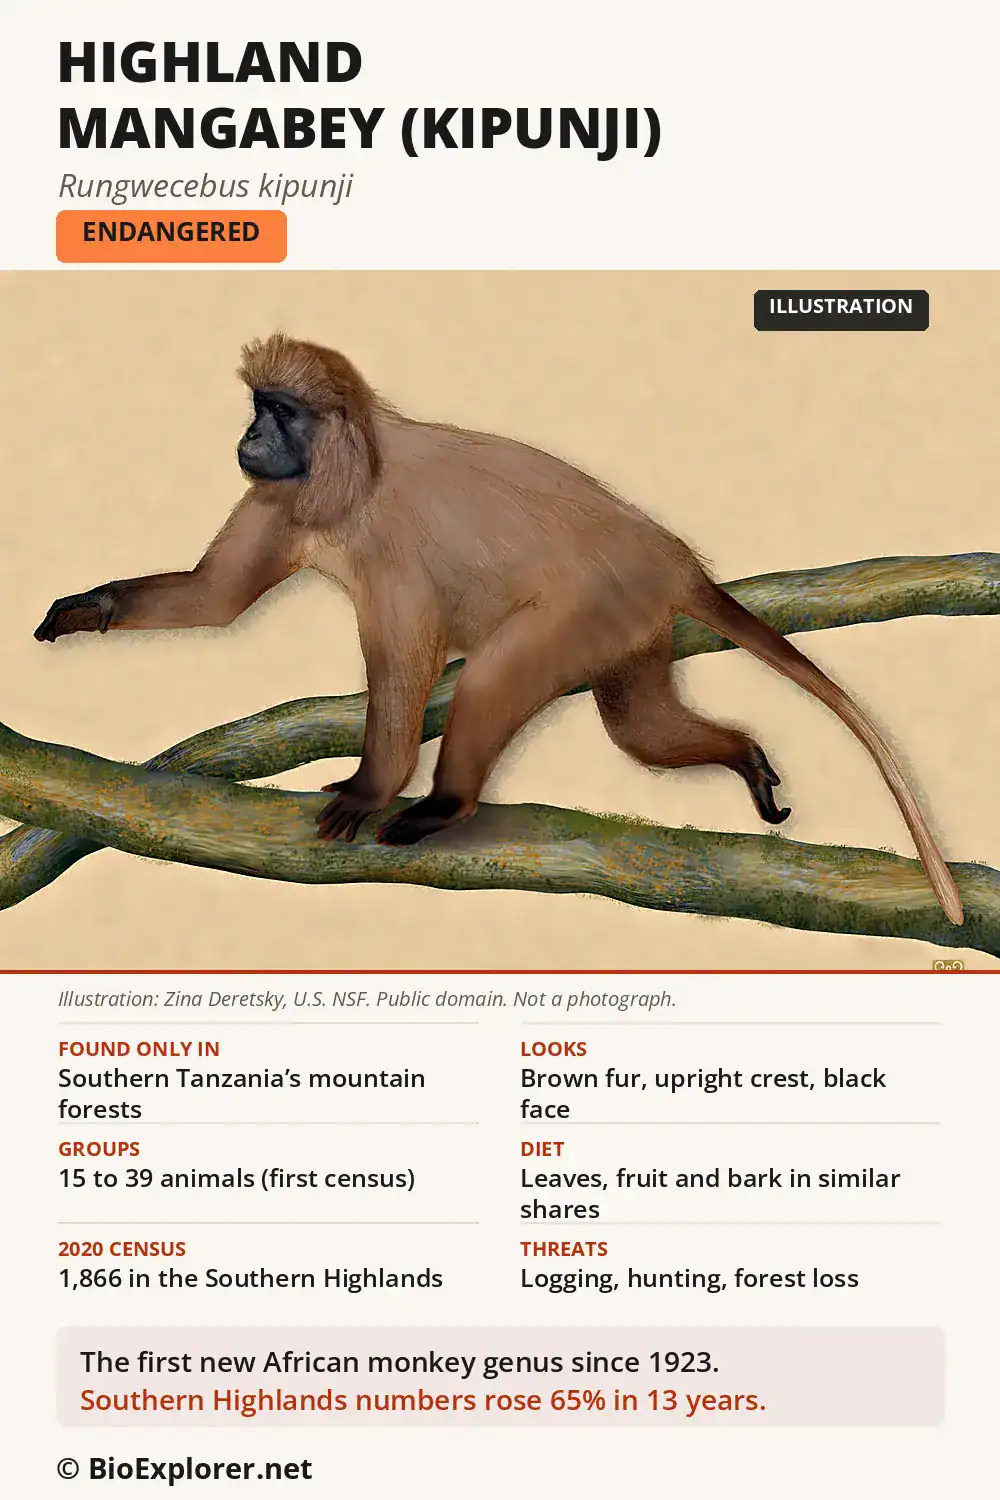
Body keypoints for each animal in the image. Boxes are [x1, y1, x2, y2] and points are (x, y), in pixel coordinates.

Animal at [33, 332, 963, 926]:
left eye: (279, 410)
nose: (250, 432)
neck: (353, 474)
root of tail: (668, 554)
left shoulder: (384, 537)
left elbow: (404, 662)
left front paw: (374, 786)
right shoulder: (283, 498)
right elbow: (215, 600)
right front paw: (91, 608)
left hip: (589, 603)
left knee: (494, 681)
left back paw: (447, 804)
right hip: (626, 628)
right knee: (639, 726)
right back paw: (743, 756)